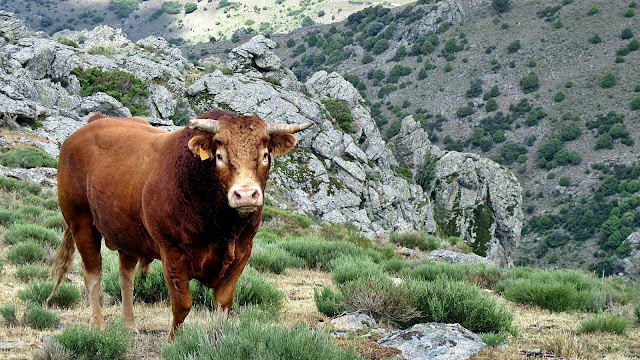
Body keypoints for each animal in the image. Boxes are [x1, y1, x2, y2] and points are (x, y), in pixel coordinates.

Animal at [47, 109, 312, 338]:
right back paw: (98, 324)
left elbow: (223, 304)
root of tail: (90, 125)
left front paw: (217, 340)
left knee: (126, 278)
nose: (246, 195)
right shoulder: (172, 253)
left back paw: (130, 325)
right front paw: (174, 341)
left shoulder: (241, 253)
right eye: (219, 156)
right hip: (81, 223)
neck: (221, 226)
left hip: (127, 234)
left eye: (265, 155)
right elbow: (182, 303)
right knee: (93, 274)